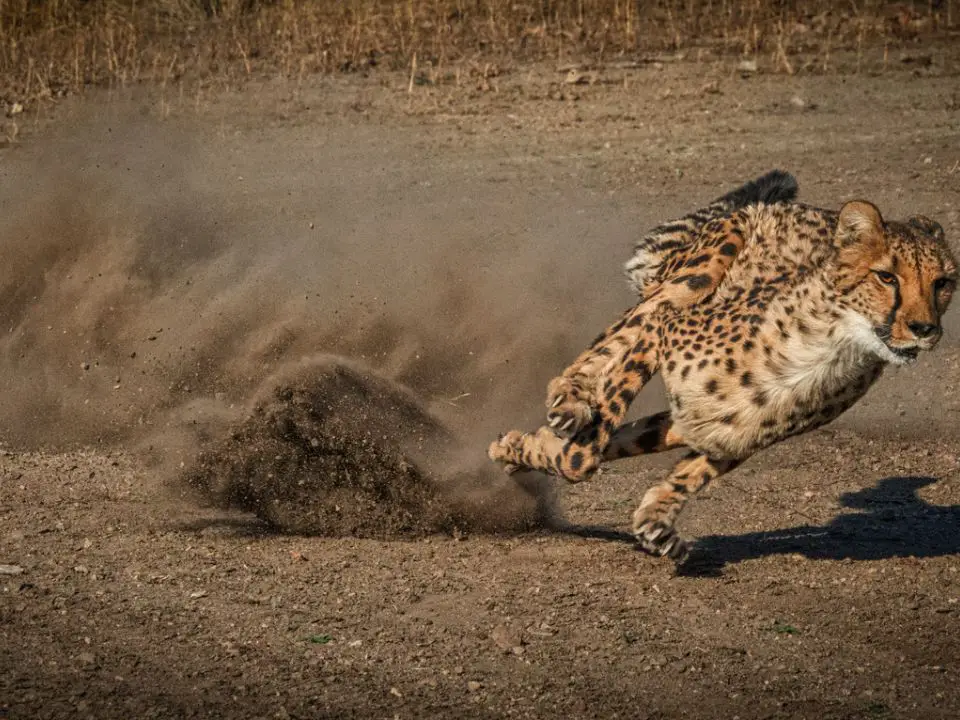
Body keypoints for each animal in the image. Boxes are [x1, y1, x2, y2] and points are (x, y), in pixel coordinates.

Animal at [492, 172, 956, 560]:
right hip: (692, 276)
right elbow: (588, 449)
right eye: (886, 277)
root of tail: (798, 207)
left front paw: (656, 519)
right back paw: (569, 400)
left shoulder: (723, 431)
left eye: (943, 283)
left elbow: (684, 466)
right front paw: (551, 445)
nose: (925, 329)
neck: (829, 348)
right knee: (609, 342)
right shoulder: (664, 329)